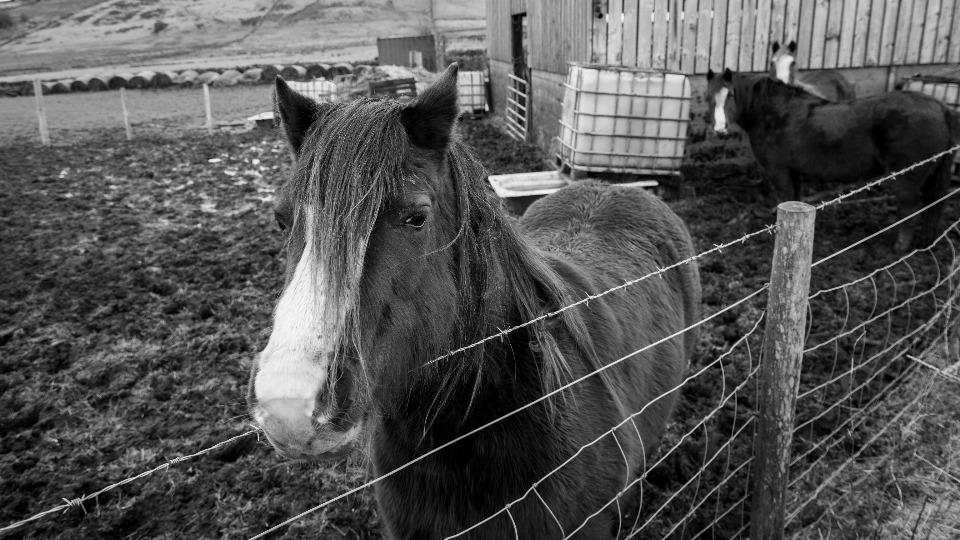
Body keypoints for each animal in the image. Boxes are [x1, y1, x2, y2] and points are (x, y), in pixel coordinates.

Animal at [706, 68, 958, 252]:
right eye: (709, 98)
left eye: (730, 95)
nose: (720, 130)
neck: (775, 114)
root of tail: (940, 108)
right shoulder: (794, 173)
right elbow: (795, 198)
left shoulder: (779, 172)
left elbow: (785, 198)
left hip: (906, 177)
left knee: (909, 208)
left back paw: (899, 246)